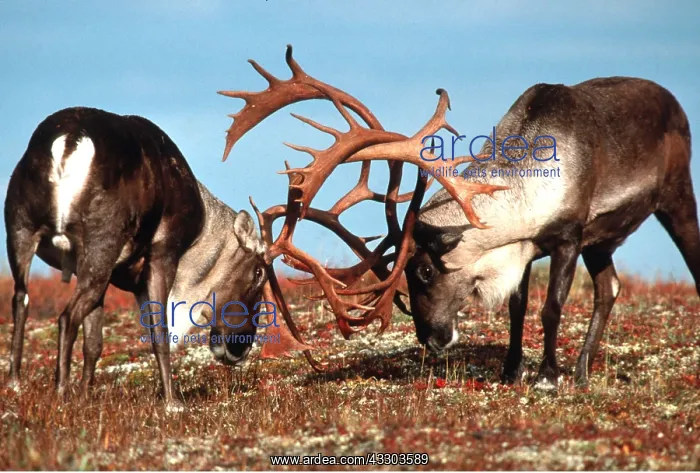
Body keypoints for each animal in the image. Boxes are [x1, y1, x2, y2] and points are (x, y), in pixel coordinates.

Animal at [5, 106, 269, 410]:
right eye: (259, 273)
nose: (240, 349)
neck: (201, 230)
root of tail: (69, 141)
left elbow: (94, 340)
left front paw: (86, 394)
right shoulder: (163, 253)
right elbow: (160, 330)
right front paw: (172, 402)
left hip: (21, 230)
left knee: (21, 300)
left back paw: (15, 383)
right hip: (100, 242)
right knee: (66, 317)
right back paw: (61, 393)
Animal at [216, 46, 698, 387]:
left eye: (425, 270)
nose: (430, 339)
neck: (522, 190)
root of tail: (673, 101)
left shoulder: (568, 236)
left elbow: (551, 307)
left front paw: (545, 377)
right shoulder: (526, 250)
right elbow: (518, 308)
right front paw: (511, 372)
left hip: (676, 197)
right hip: (604, 239)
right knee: (609, 287)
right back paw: (581, 373)